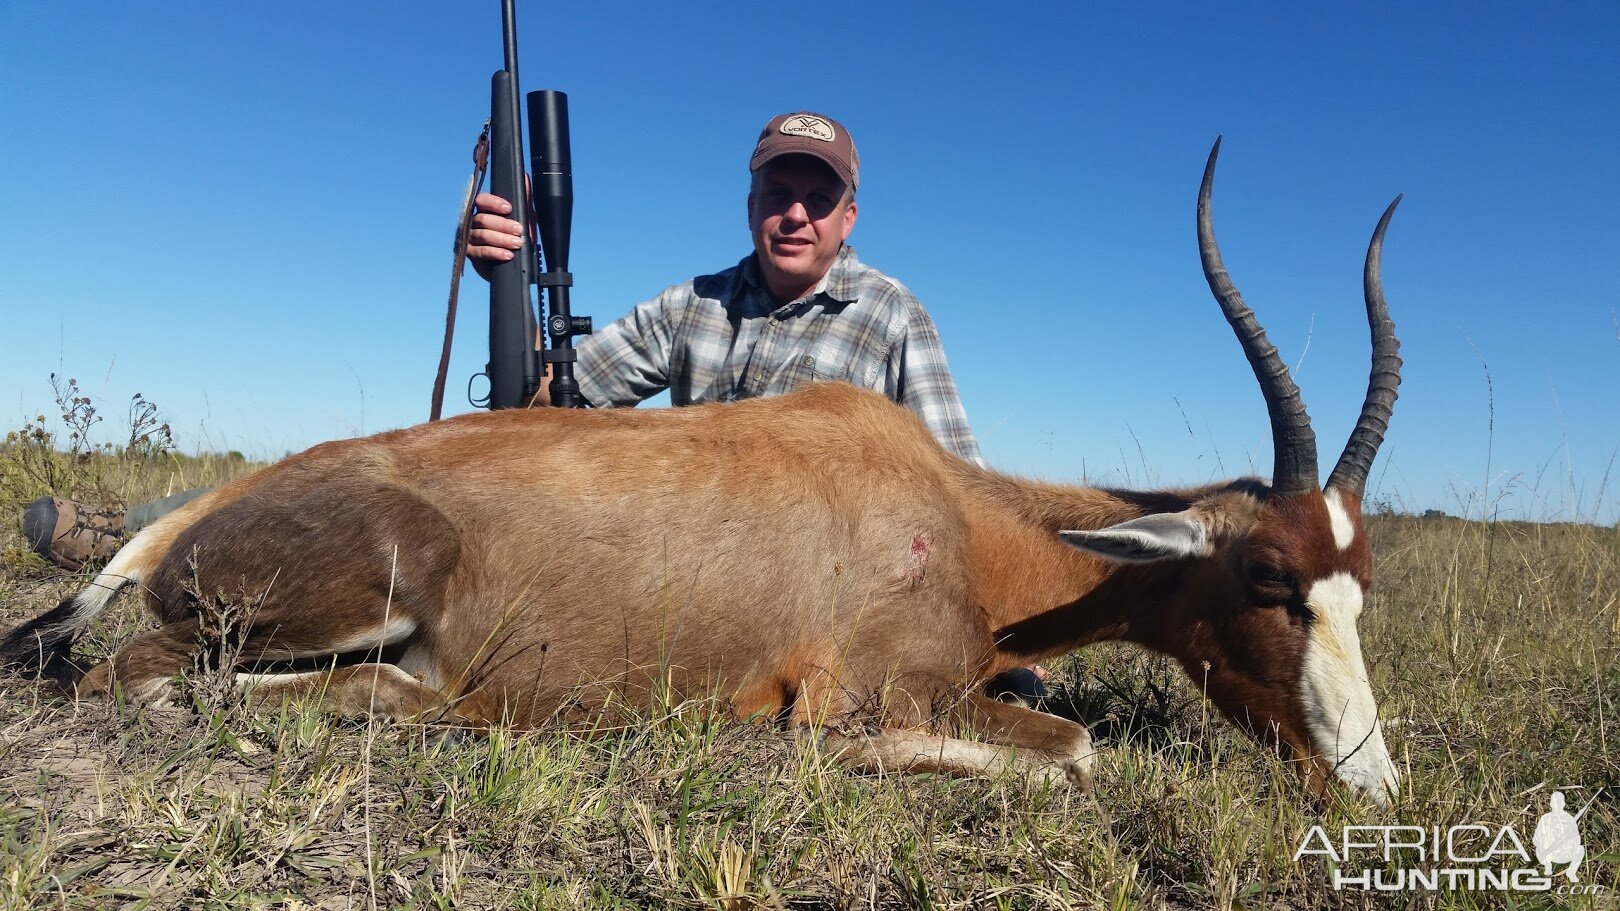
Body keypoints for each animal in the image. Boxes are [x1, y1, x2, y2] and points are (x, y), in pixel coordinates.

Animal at [3, 138, 1406, 797]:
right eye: (1273, 581)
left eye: (1359, 585)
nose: (1371, 780)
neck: (954, 513)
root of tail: (216, 502)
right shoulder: (866, 693)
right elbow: (1070, 749)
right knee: (155, 677)